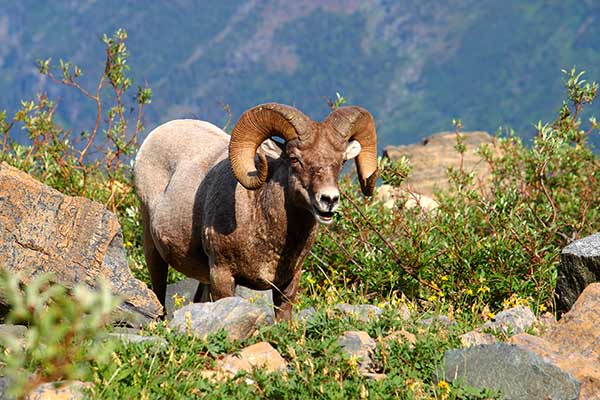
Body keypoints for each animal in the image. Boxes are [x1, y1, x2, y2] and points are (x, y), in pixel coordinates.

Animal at [136, 102, 378, 318]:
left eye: (341, 161)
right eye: (294, 159)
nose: (329, 199)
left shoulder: (288, 282)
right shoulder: (222, 275)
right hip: (153, 249)